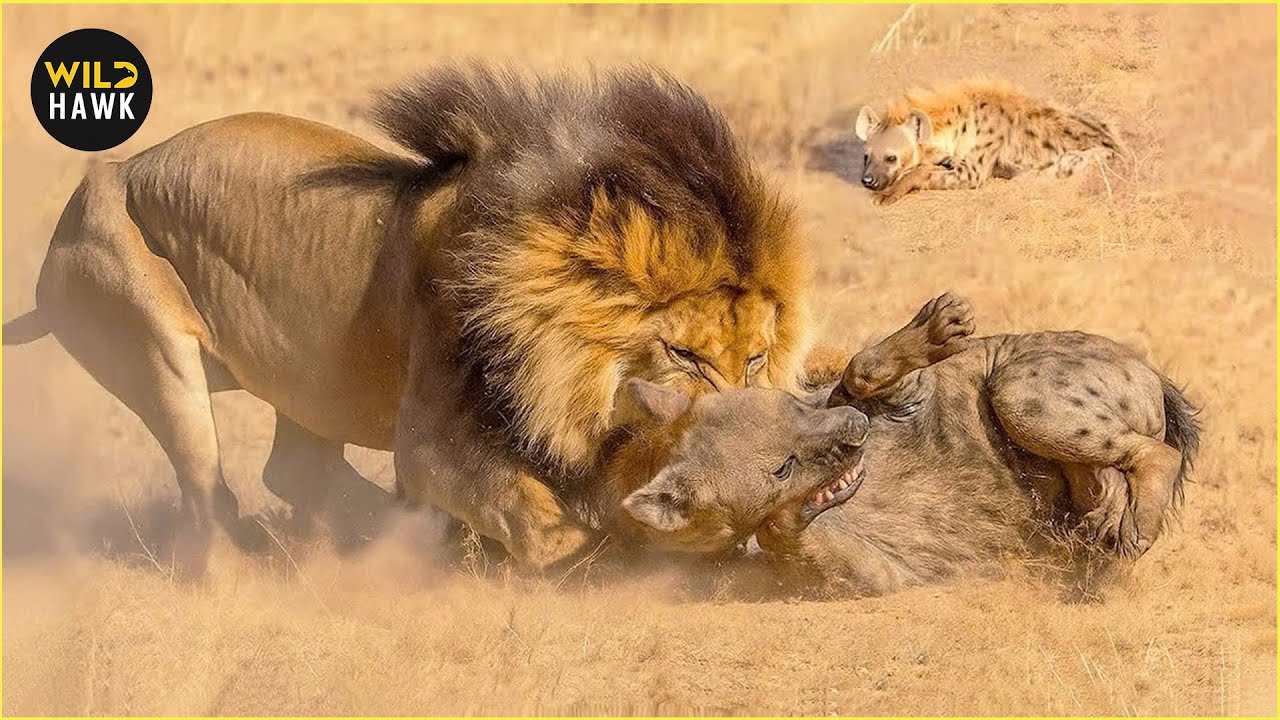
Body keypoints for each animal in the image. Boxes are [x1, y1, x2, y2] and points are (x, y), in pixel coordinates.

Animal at [2, 66, 812, 574]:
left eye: (754, 360)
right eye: (686, 356)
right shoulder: (430, 437)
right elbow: (547, 524)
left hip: (310, 379)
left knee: (293, 469)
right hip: (145, 332)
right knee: (213, 497)